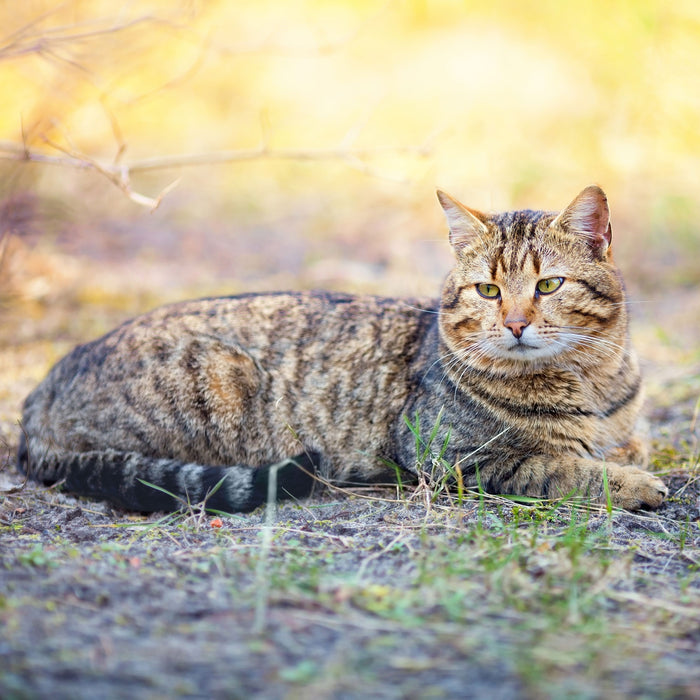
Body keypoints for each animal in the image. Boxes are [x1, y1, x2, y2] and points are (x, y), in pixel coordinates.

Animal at [17, 186, 668, 516]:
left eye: (549, 285)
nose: (513, 324)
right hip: (218, 380)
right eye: (488, 290)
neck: (590, 380)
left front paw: (625, 459)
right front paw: (632, 484)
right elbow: (558, 465)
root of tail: (41, 390)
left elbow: (625, 443)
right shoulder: (452, 455)